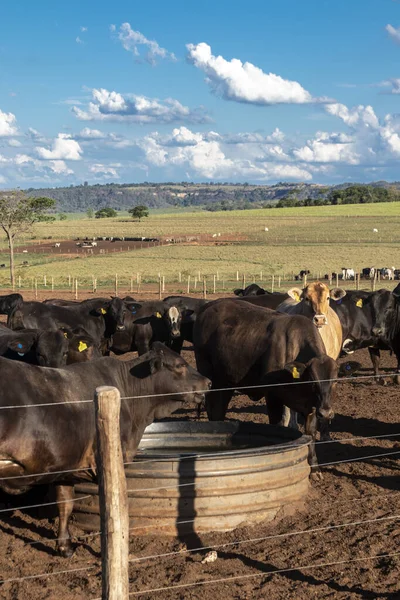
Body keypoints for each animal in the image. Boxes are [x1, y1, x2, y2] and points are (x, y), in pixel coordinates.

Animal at [194, 300, 338, 474]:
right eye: (311, 380)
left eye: (335, 380)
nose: (326, 413)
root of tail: (207, 307)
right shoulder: (273, 396)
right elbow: (278, 425)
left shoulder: (311, 405)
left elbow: (310, 432)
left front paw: (315, 468)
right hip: (212, 380)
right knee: (214, 410)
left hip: (226, 383)